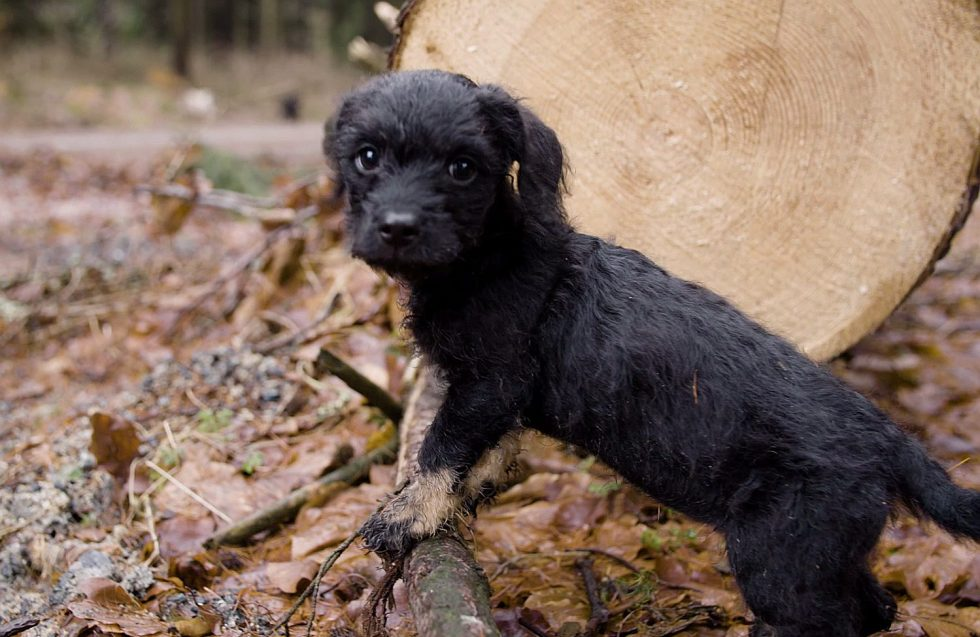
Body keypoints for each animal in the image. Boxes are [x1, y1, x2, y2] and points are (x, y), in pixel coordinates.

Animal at [330, 69, 980, 636]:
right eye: (367, 156)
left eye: (463, 168)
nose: (397, 227)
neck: (488, 257)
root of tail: (891, 442)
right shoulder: (498, 397)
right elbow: (487, 449)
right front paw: (463, 493)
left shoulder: (490, 382)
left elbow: (442, 447)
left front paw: (408, 513)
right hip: (824, 557)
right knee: (876, 607)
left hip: (779, 556)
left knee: (827, 621)